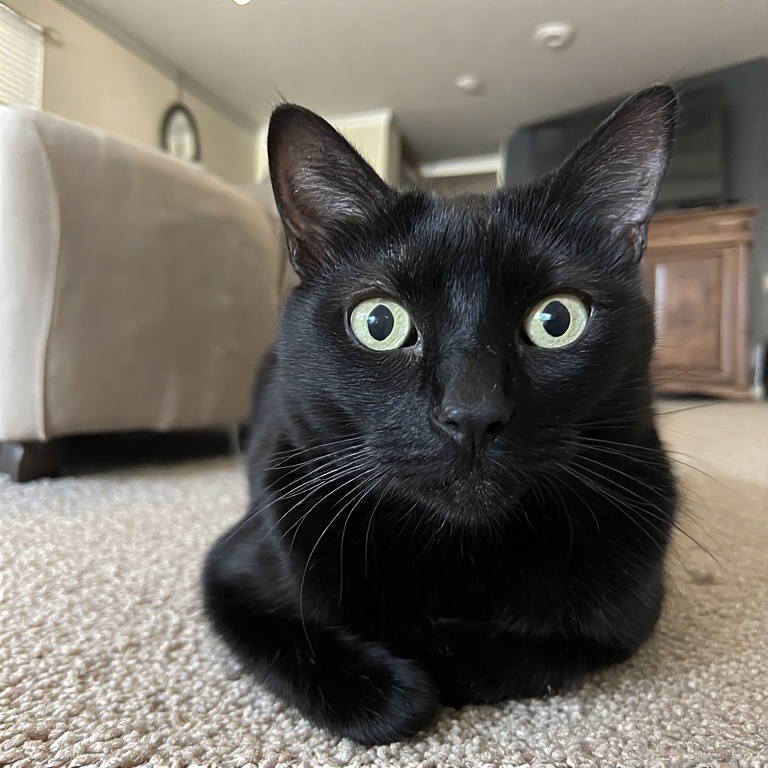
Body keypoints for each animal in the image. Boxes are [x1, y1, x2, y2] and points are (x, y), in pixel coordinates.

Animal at [203, 86, 679, 745]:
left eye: (557, 319)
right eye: (379, 322)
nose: (472, 413)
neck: (459, 555)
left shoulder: (627, 611)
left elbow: (547, 644)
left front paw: (438, 649)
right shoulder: (231, 573)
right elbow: (331, 659)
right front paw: (399, 681)